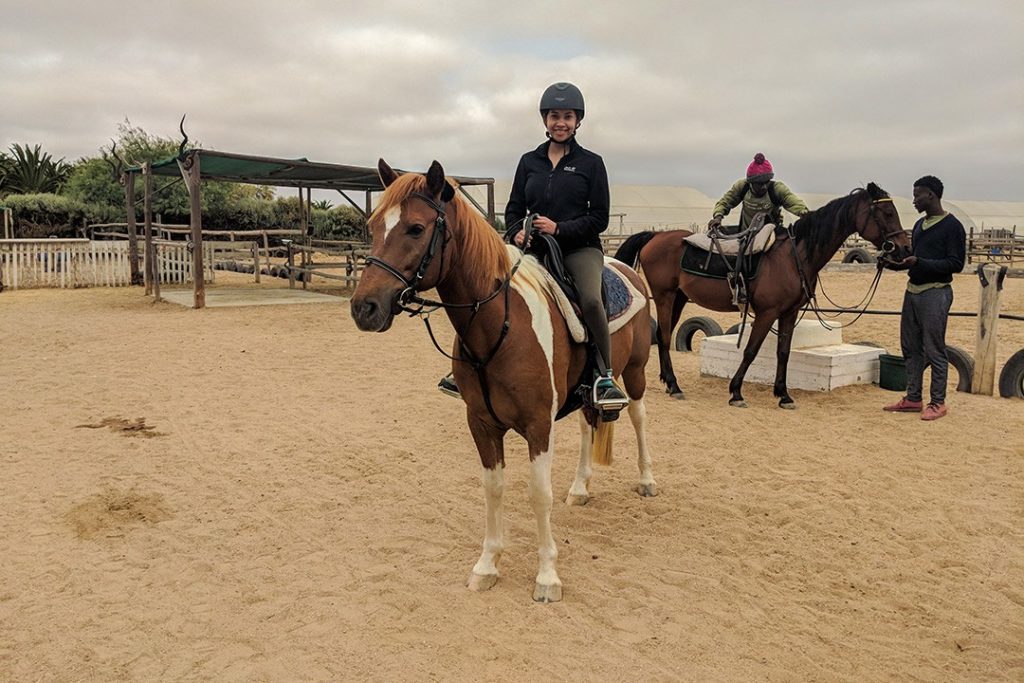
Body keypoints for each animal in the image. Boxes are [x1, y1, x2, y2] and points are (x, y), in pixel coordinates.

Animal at [352, 160, 655, 602]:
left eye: (416, 228)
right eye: (373, 226)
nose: (364, 308)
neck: (500, 326)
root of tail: (624, 266)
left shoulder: (538, 425)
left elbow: (538, 494)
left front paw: (547, 576)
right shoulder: (482, 423)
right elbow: (493, 487)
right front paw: (487, 565)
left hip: (634, 373)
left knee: (638, 417)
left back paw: (647, 480)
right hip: (585, 394)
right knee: (588, 426)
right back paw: (580, 488)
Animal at [614, 183, 913, 405]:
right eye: (887, 213)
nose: (905, 249)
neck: (794, 256)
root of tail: (655, 236)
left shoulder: (789, 312)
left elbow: (783, 351)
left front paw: (783, 393)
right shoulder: (767, 313)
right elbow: (750, 350)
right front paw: (736, 391)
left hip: (679, 297)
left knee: (663, 336)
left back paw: (669, 383)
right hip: (664, 296)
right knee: (664, 336)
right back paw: (674, 385)